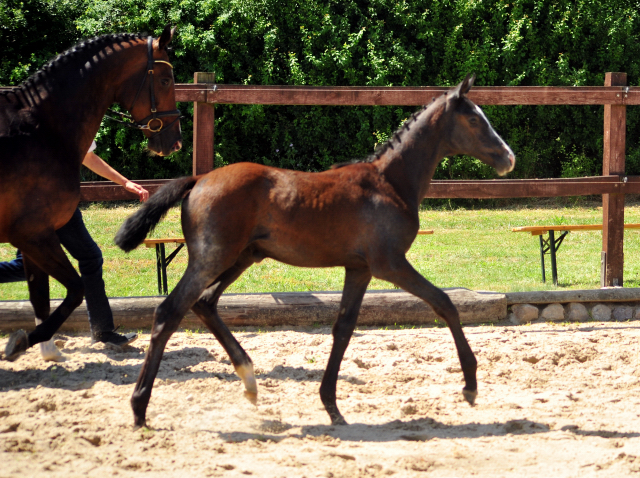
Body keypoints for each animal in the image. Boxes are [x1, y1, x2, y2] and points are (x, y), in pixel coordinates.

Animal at [2, 25, 182, 358]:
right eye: (165, 80)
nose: (174, 142)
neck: (40, 128)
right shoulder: (33, 234)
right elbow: (75, 289)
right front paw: (24, 342)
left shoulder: (35, 237)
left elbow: (41, 295)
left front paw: (42, 348)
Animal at [116, 75, 516, 430]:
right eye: (475, 119)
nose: (508, 158)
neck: (390, 183)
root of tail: (199, 179)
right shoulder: (390, 264)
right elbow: (444, 303)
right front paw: (470, 386)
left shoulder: (359, 269)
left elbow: (343, 328)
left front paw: (332, 407)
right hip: (211, 258)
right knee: (169, 312)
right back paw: (139, 408)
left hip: (241, 257)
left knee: (205, 303)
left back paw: (249, 381)